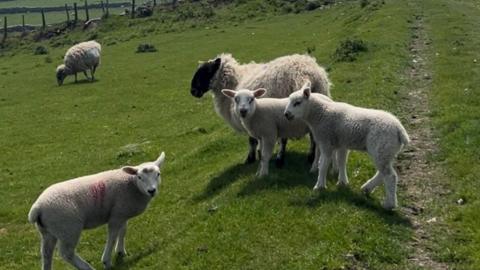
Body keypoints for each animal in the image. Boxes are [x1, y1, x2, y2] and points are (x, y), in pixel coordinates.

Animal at [29, 153, 167, 268]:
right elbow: (112, 236)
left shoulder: (121, 211)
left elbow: (123, 231)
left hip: (48, 231)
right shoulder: (116, 216)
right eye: (139, 177)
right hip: (68, 228)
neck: (132, 185)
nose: (151, 190)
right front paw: (107, 261)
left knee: (46, 254)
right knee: (67, 254)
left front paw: (121, 251)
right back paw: (87, 267)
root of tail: (38, 207)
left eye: (158, 174)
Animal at [189, 52, 332, 166]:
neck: (234, 82)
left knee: (284, 139)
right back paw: (311, 156)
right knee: (313, 135)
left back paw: (280, 159)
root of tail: (304, 73)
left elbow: (251, 140)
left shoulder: (247, 117)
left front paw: (251, 158)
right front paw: (259, 153)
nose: (193, 91)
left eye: (207, 71)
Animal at [284, 81, 410, 210]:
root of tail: (400, 130)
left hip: (381, 147)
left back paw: (389, 204)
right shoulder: (341, 143)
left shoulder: (326, 141)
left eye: (297, 103)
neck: (320, 114)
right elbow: (341, 162)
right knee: (382, 172)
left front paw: (319, 186)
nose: (286, 114)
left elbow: (323, 165)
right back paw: (367, 188)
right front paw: (342, 182)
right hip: (387, 151)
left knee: (390, 176)